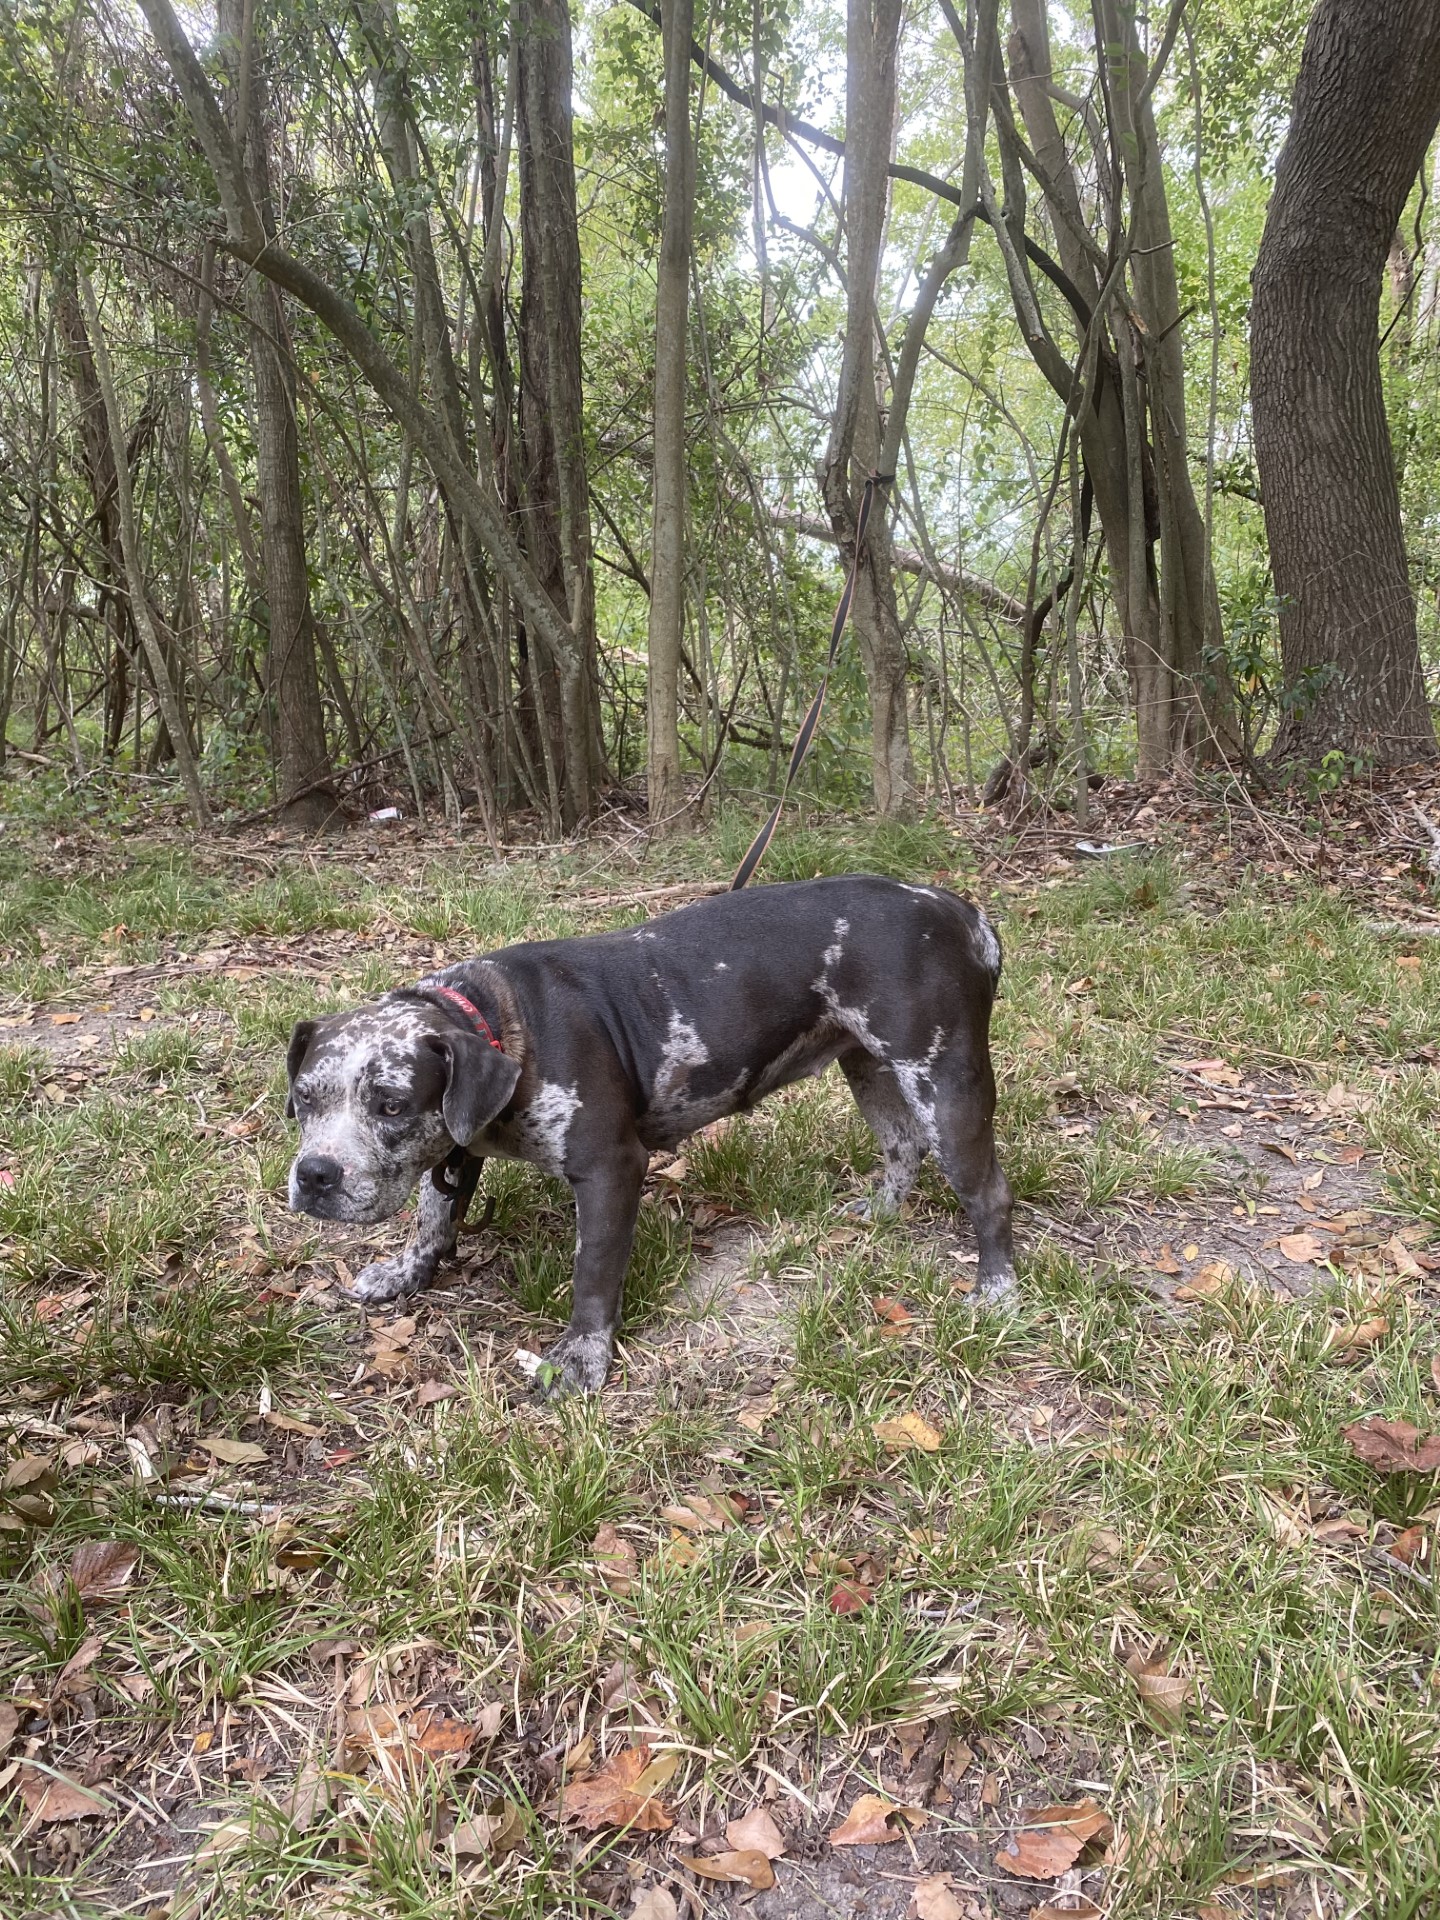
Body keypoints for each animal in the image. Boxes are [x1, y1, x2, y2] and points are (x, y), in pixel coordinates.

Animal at [288, 875, 1021, 1397]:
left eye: (390, 1105)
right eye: (302, 1101)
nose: (315, 1175)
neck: (495, 1023)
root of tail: (962, 913)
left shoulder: (610, 1171)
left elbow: (592, 1275)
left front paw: (582, 1358)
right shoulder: (457, 1148)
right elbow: (434, 1215)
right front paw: (407, 1271)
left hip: (945, 1085)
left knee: (987, 1192)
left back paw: (996, 1288)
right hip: (869, 1067)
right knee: (902, 1145)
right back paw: (883, 1213)